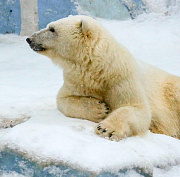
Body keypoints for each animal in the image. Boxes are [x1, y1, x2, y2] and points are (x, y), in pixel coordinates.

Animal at [26, 15, 180, 142]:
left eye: (52, 29)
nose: (29, 39)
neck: (99, 68)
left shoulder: (122, 78)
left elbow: (136, 108)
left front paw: (106, 129)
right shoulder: (76, 80)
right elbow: (63, 99)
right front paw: (99, 109)